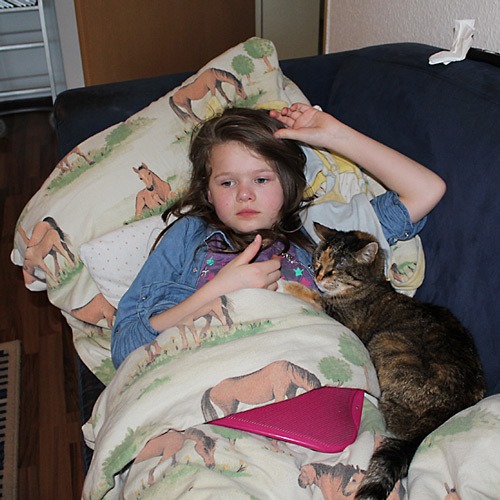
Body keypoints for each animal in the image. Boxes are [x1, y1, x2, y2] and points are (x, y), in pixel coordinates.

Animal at [285, 223, 486, 500]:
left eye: (335, 268)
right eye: (317, 259)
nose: (317, 275)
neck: (369, 285)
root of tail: (451, 409)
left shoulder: (342, 318)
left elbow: (316, 298)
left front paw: (288, 285)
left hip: (387, 342)